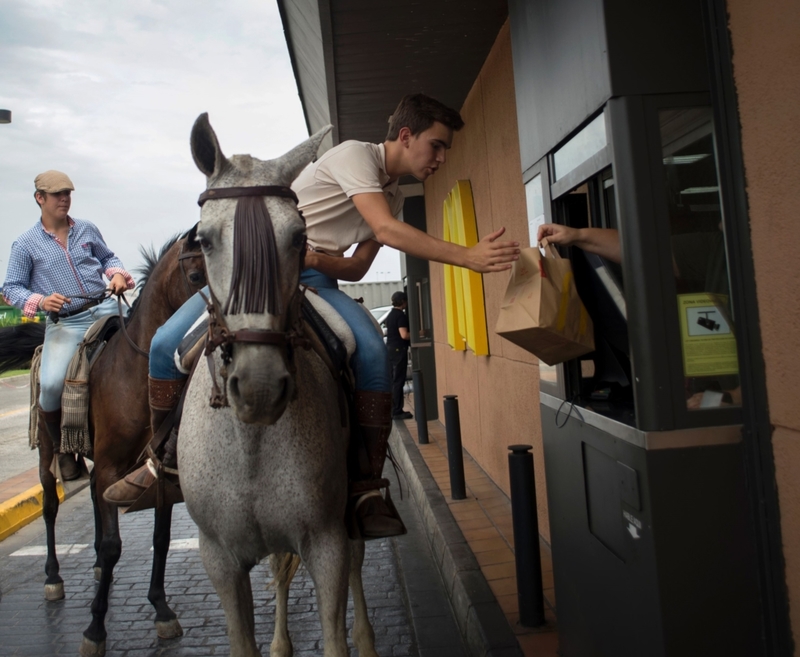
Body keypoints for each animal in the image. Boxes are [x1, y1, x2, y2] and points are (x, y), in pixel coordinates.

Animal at [0, 228, 206, 652]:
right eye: (196, 277)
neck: (136, 373)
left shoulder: (156, 468)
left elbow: (161, 538)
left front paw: (161, 610)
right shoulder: (113, 467)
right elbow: (114, 546)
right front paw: (95, 628)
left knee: (96, 496)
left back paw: (94, 565)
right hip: (48, 452)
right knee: (50, 506)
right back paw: (53, 577)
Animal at [178, 114, 378, 656]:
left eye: (298, 237)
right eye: (204, 240)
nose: (260, 386)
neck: (251, 442)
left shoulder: (327, 542)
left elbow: (335, 631)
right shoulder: (219, 559)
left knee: (357, 564)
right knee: (281, 573)